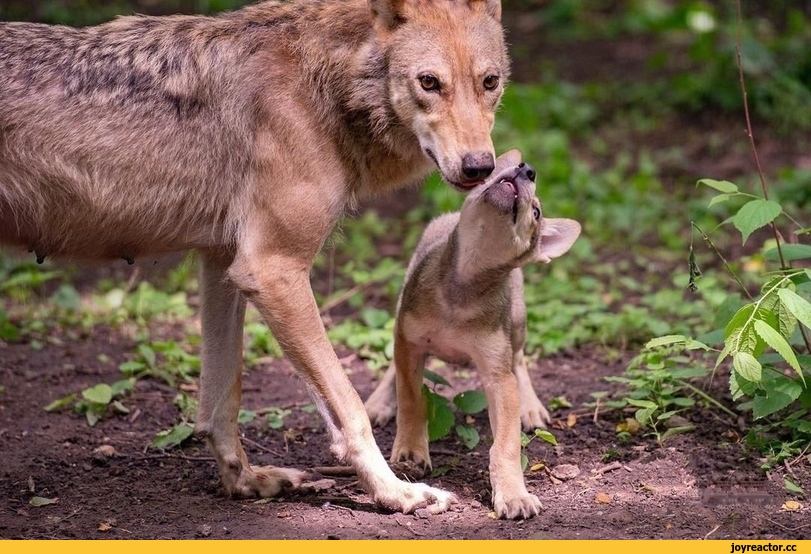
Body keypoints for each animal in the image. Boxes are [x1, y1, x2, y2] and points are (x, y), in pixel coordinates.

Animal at [0, 0, 508, 512]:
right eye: (429, 82)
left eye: (490, 82)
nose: (479, 167)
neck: (322, 85)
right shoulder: (273, 270)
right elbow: (351, 406)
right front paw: (395, 492)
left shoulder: (223, 264)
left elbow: (222, 401)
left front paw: (243, 482)